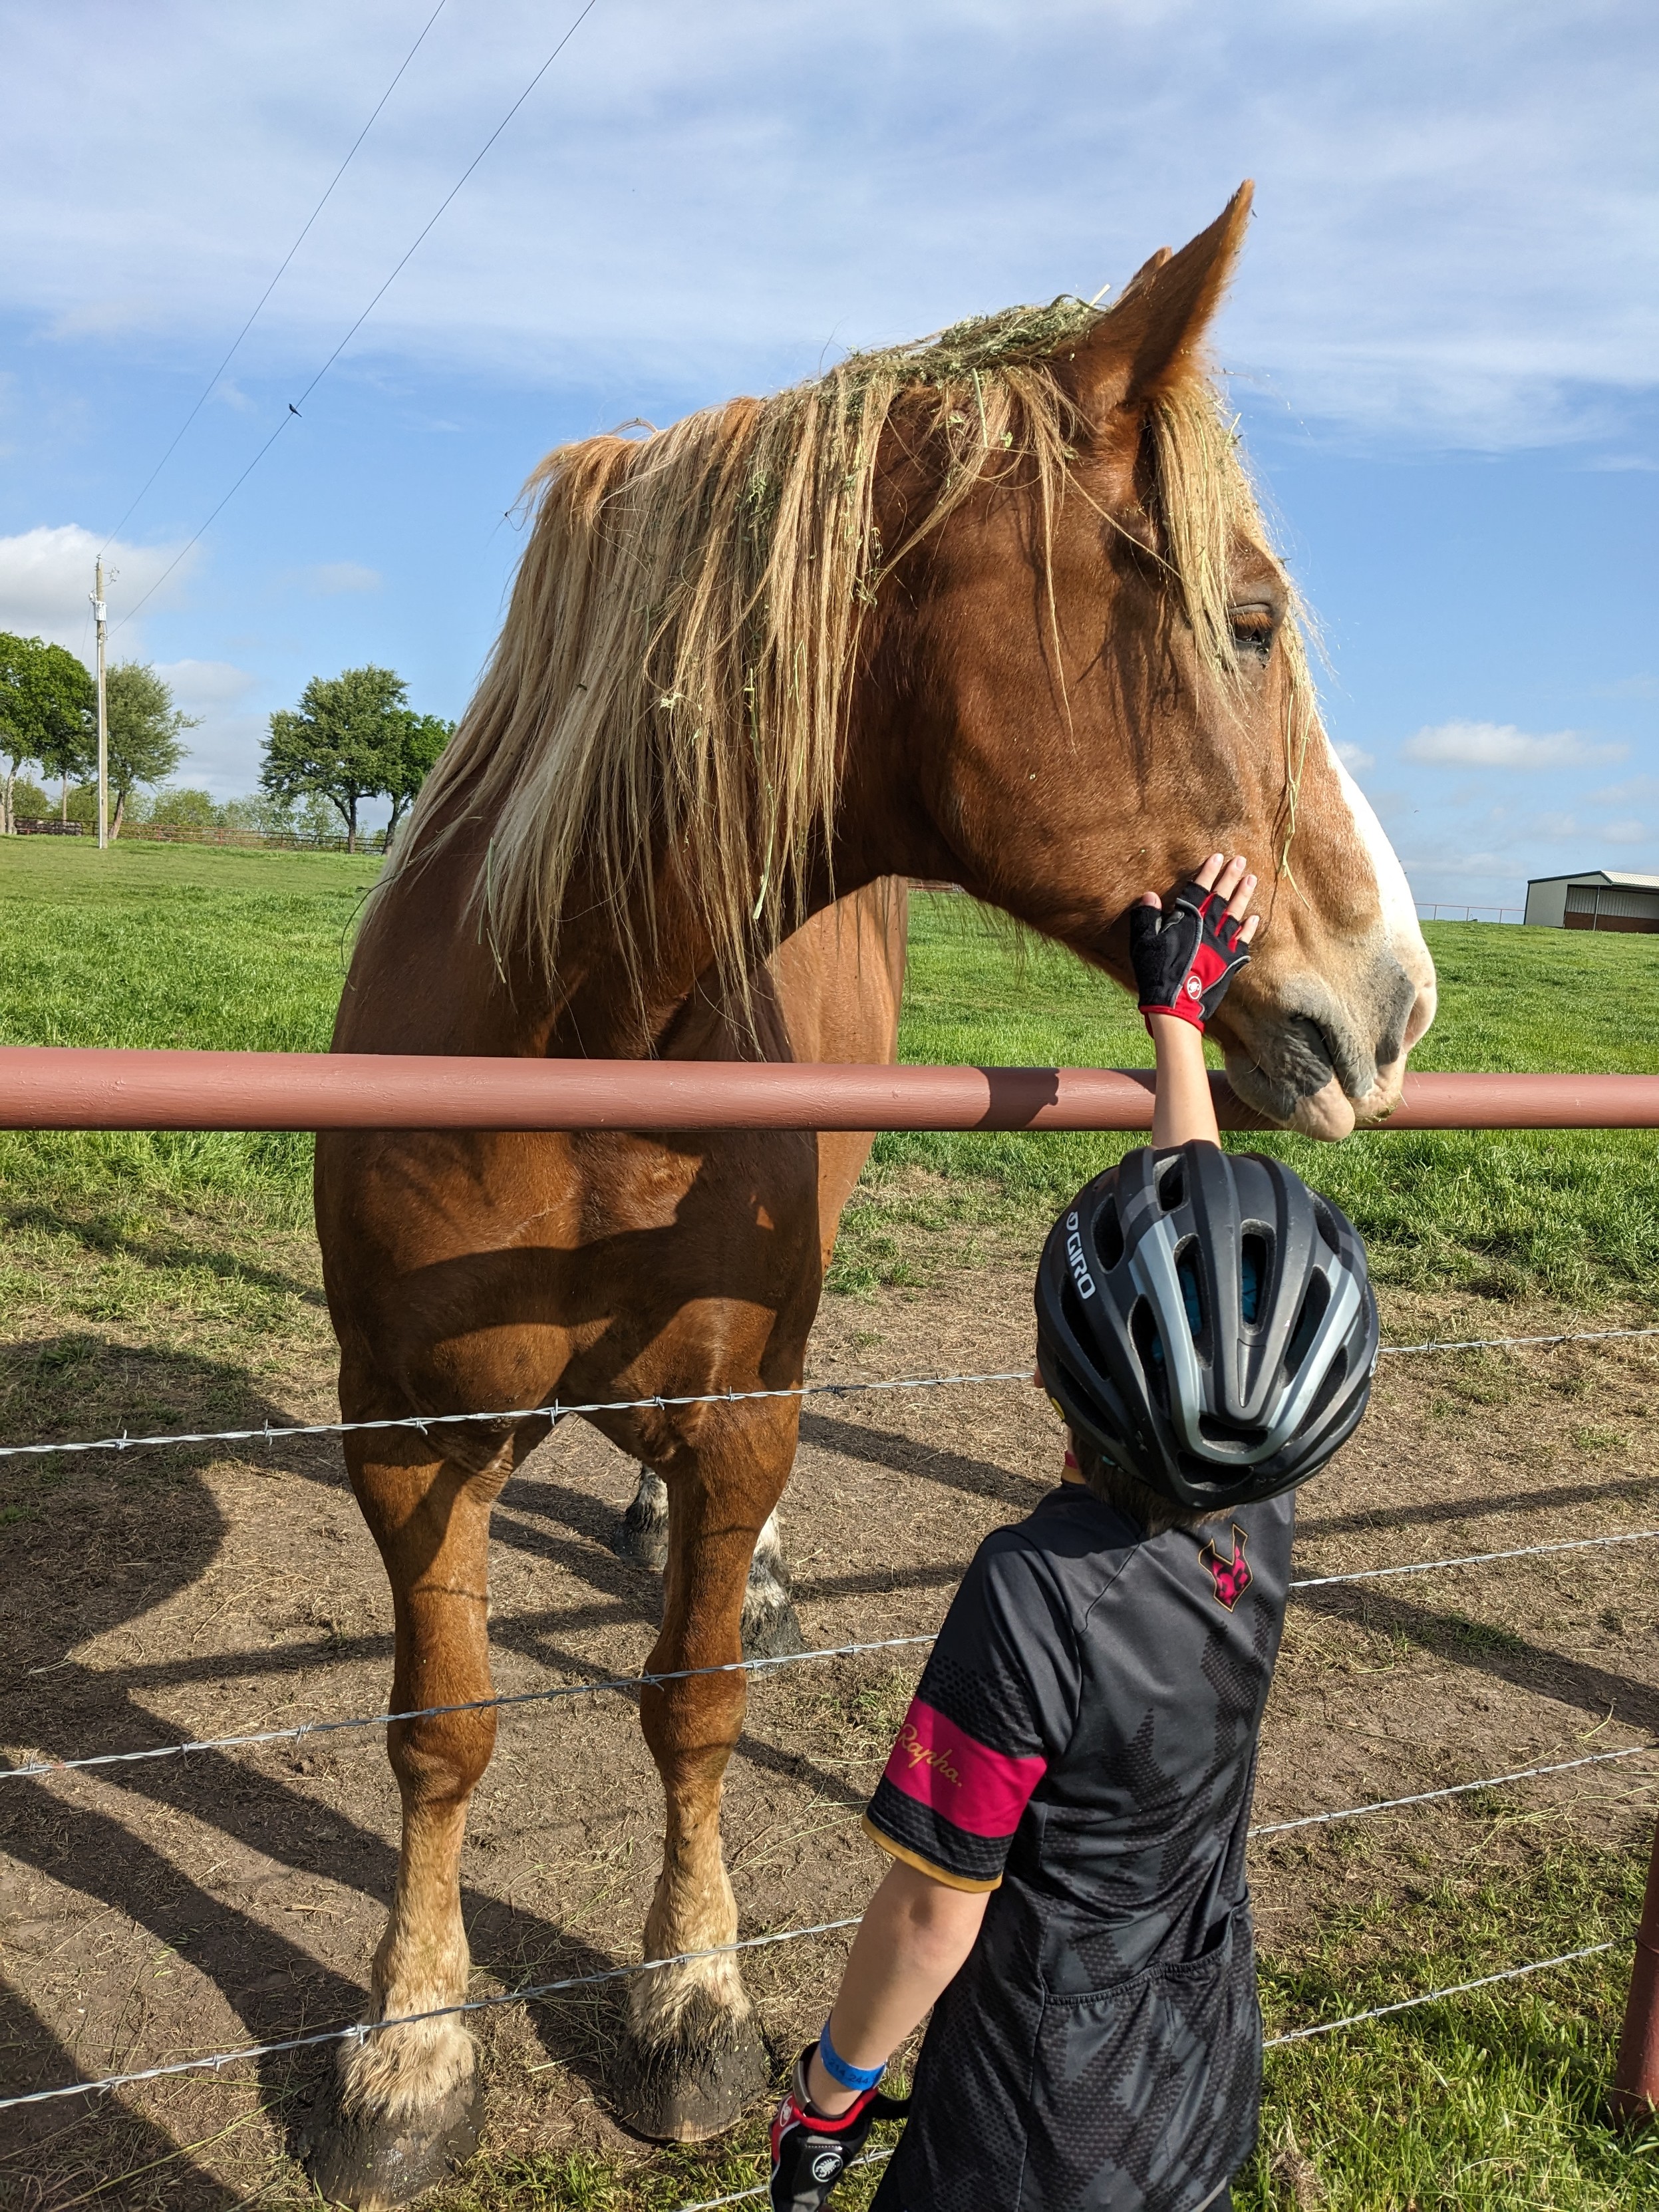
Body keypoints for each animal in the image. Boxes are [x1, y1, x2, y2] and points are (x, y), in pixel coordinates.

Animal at [309, 183, 1435, 2205]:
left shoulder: (741, 1396)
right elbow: (441, 1726)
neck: (576, 1017)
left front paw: (686, 2001)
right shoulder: (412, 1431)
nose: (1399, 1001)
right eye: (1245, 618)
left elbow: (690, 1703)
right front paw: (409, 2050)